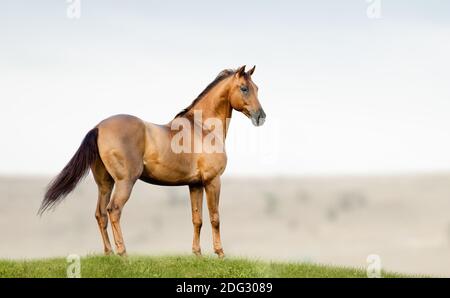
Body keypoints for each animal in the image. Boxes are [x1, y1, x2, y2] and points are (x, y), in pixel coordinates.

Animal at [39, 66, 264, 258]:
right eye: (244, 88)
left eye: (257, 88)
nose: (261, 116)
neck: (202, 128)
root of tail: (99, 127)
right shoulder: (212, 181)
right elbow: (215, 217)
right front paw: (220, 253)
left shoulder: (195, 185)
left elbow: (197, 219)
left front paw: (197, 254)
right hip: (125, 182)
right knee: (114, 211)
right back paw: (123, 254)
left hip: (105, 183)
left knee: (100, 214)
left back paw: (109, 254)